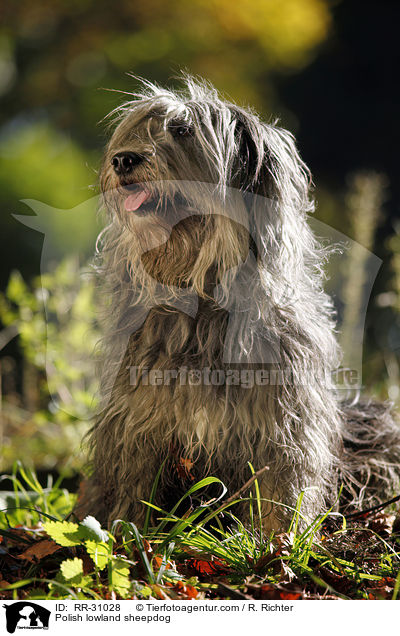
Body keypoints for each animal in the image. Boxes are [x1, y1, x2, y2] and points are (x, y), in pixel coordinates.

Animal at [79, 76, 400, 532]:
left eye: (183, 131)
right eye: (141, 128)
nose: (122, 160)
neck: (203, 300)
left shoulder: (283, 426)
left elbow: (281, 494)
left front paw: (277, 541)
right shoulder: (137, 424)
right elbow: (134, 490)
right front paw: (128, 534)